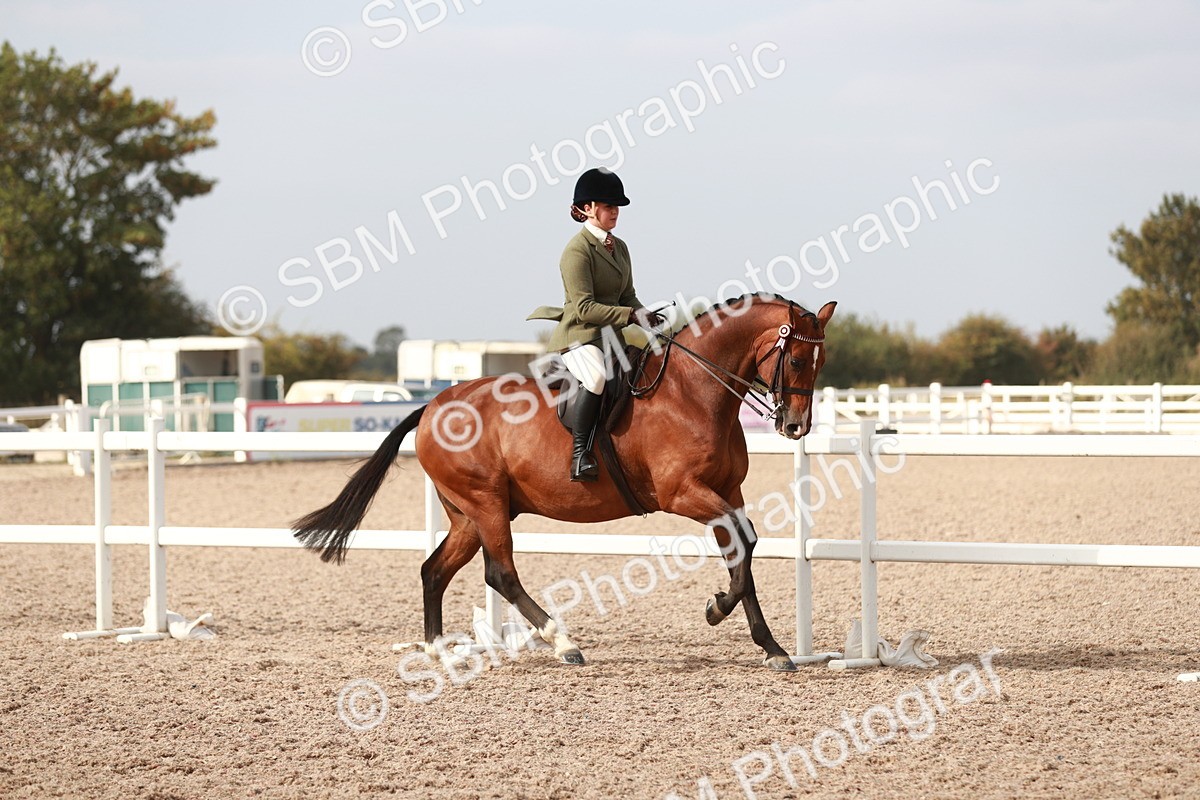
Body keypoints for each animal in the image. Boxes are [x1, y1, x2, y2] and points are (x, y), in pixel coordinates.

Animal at [294, 293, 836, 671]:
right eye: (794, 359)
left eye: (820, 362)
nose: (795, 427)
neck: (695, 391)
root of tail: (431, 406)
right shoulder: (683, 494)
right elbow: (741, 548)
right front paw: (716, 609)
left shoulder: (729, 492)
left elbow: (744, 547)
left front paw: (770, 646)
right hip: (486, 504)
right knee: (500, 574)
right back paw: (564, 643)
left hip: (467, 514)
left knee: (434, 571)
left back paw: (440, 653)